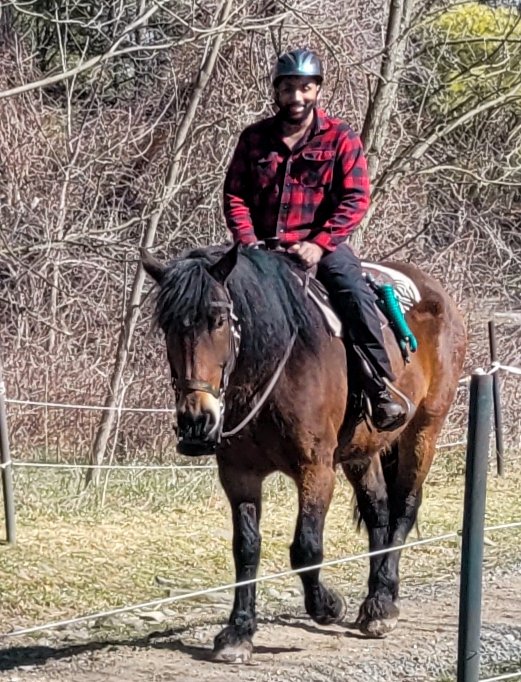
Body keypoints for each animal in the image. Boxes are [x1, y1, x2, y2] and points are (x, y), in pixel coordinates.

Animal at [140, 243, 466, 660]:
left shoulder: (316, 469)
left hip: (424, 431)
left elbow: (306, 548)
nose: (197, 420)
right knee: (378, 511)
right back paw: (377, 600)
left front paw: (327, 605)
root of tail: (435, 292)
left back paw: (382, 607)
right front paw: (238, 632)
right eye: (167, 325)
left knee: (403, 508)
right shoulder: (239, 474)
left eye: (217, 320)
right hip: (363, 450)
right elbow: (246, 548)